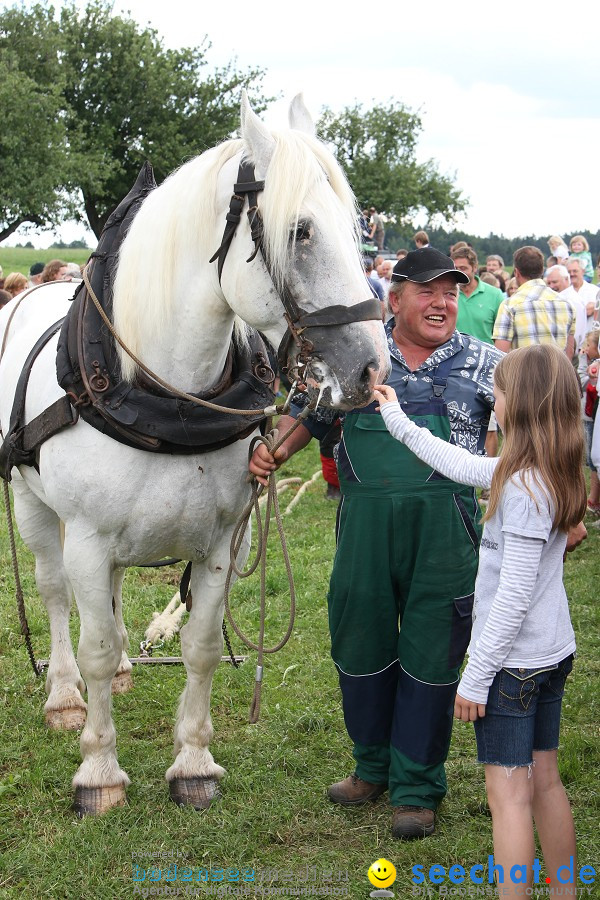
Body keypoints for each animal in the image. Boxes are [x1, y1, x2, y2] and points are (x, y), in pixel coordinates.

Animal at [0, 93, 390, 816]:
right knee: (55, 593)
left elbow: (202, 647)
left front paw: (193, 764)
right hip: (30, 502)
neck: (164, 394)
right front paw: (99, 772)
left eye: (358, 234)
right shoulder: (87, 539)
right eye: (300, 232)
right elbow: (94, 646)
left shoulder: (222, 542)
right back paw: (64, 696)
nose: (371, 369)